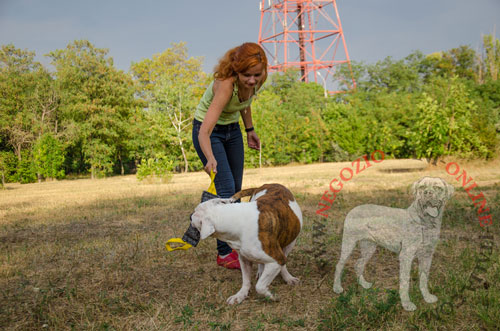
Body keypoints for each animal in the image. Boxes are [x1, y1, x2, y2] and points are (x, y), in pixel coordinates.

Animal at [334, 178, 456, 312]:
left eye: (438, 187)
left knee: (358, 264)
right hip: (348, 244)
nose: (427, 193)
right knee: (339, 265)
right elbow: (405, 282)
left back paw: (364, 284)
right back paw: (337, 288)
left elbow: (424, 279)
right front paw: (407, 304)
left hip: (369, 247)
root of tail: (352, 210)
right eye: (422, 187)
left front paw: (427, 297)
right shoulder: (406, 256)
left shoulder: (427, 256)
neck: (425, 223)